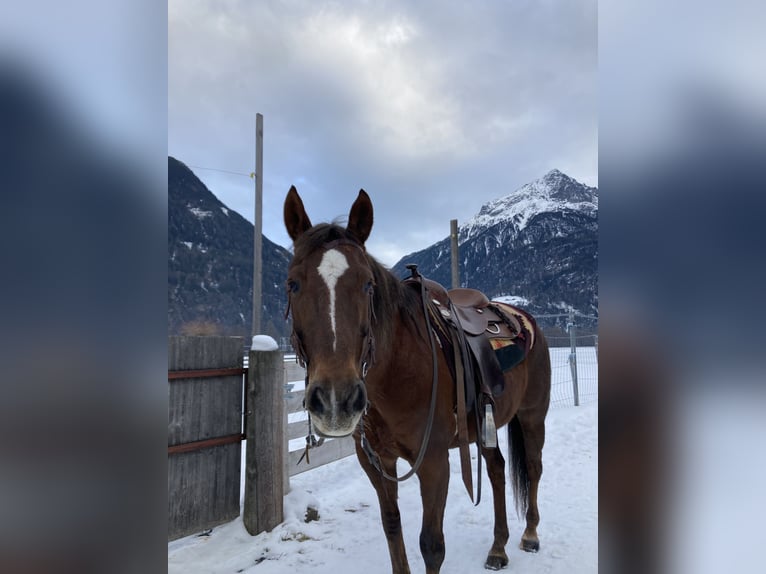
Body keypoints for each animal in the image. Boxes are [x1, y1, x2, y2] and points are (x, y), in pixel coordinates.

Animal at [282, 187, 552, 572]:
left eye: (367, 285)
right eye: (293, 283)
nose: (337, 400)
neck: (396, 374)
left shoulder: (434, 463)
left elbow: (431, 545)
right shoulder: (376, 462)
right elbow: (392, 526)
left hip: (531, 416)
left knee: (532, 466)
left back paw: (529, 534)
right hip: (485, 425)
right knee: (497, 469)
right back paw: (498, 548)